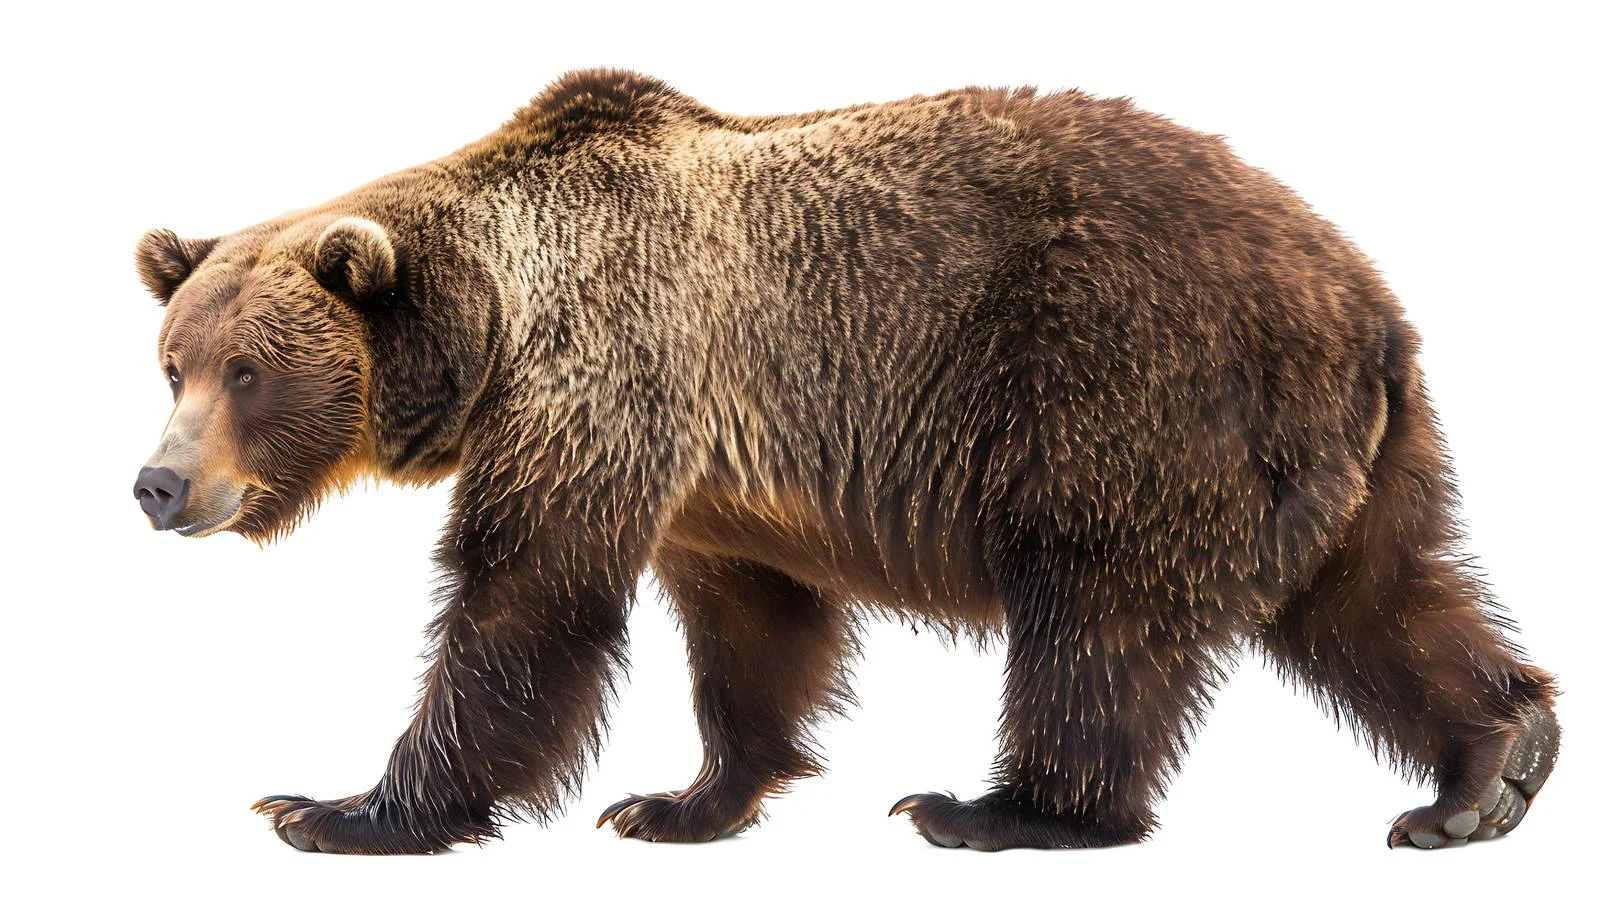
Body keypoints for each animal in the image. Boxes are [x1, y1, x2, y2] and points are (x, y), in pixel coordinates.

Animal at [132, 69, 1559, 854]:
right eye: (171, 362)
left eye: (246, 371)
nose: (157, 484)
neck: (491, 323)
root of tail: (1367, 304)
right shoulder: (711, 474)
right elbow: (753, 624)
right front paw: (683, 798)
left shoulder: (603, 375)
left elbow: (525, 600)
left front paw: (339, 809)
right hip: (1341, 458)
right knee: (1379, 599)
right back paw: (1486, 768)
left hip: (1131, 392)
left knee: (1096, 618)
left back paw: (1001, 809)